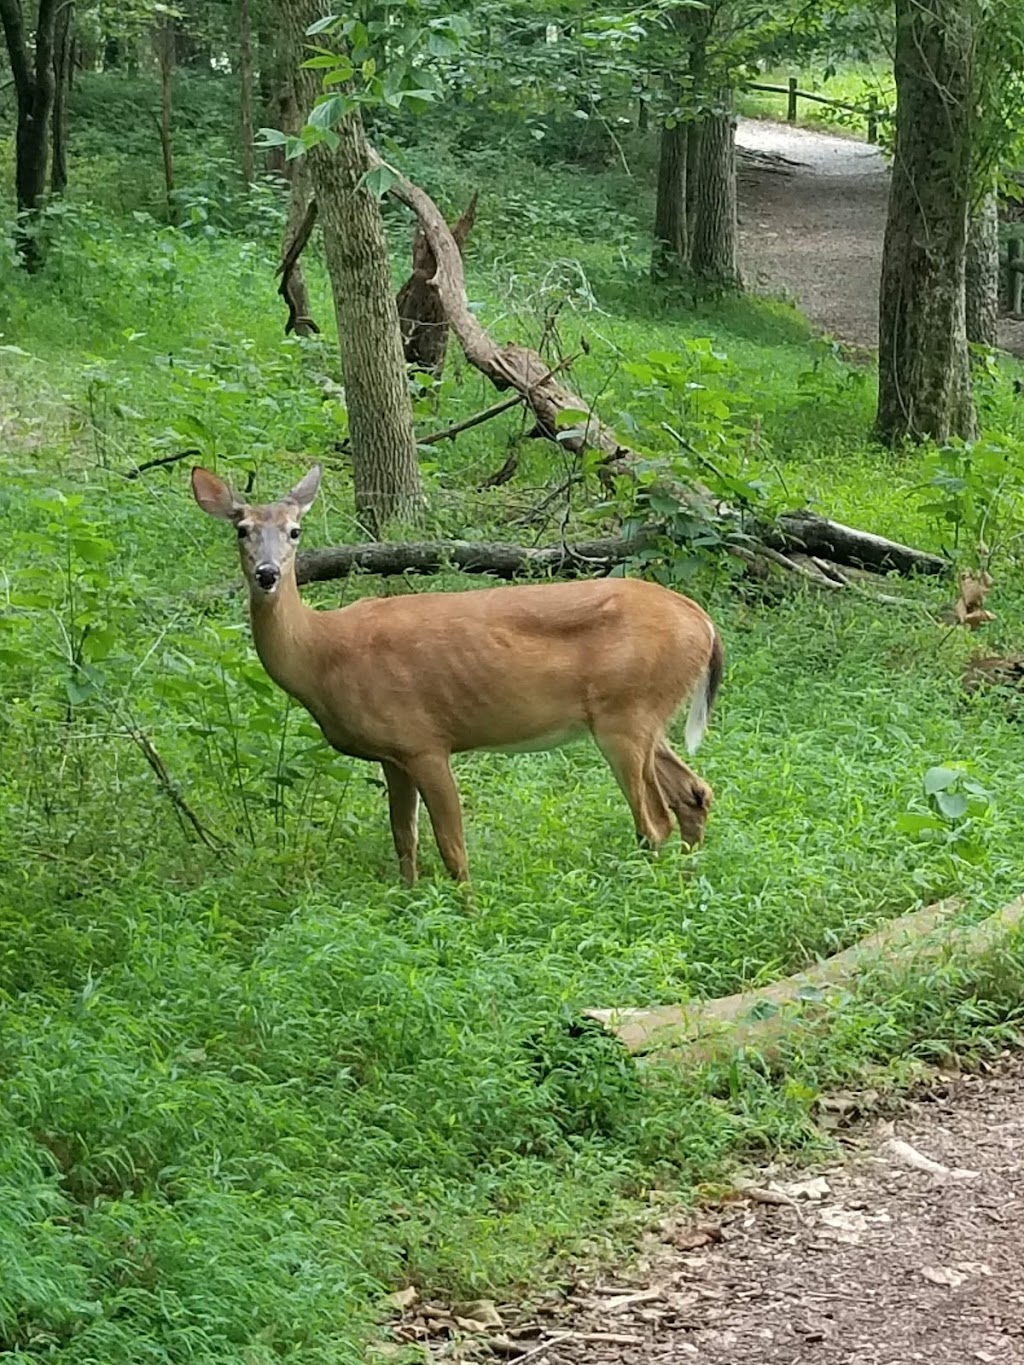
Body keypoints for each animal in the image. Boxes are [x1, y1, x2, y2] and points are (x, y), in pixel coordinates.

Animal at [191, 466, 720, 884]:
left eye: (295, 530)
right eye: (242, 529)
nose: (267, 574)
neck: (322, 656)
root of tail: (704, 623)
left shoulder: (424, 741)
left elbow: (452, 848)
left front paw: (465, 913)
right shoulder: (392, 754)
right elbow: (404, 838)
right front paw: (408, 902)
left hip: (625, 712)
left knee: (655, 820)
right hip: (644, 714)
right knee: (694, 794)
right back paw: (688, 883)